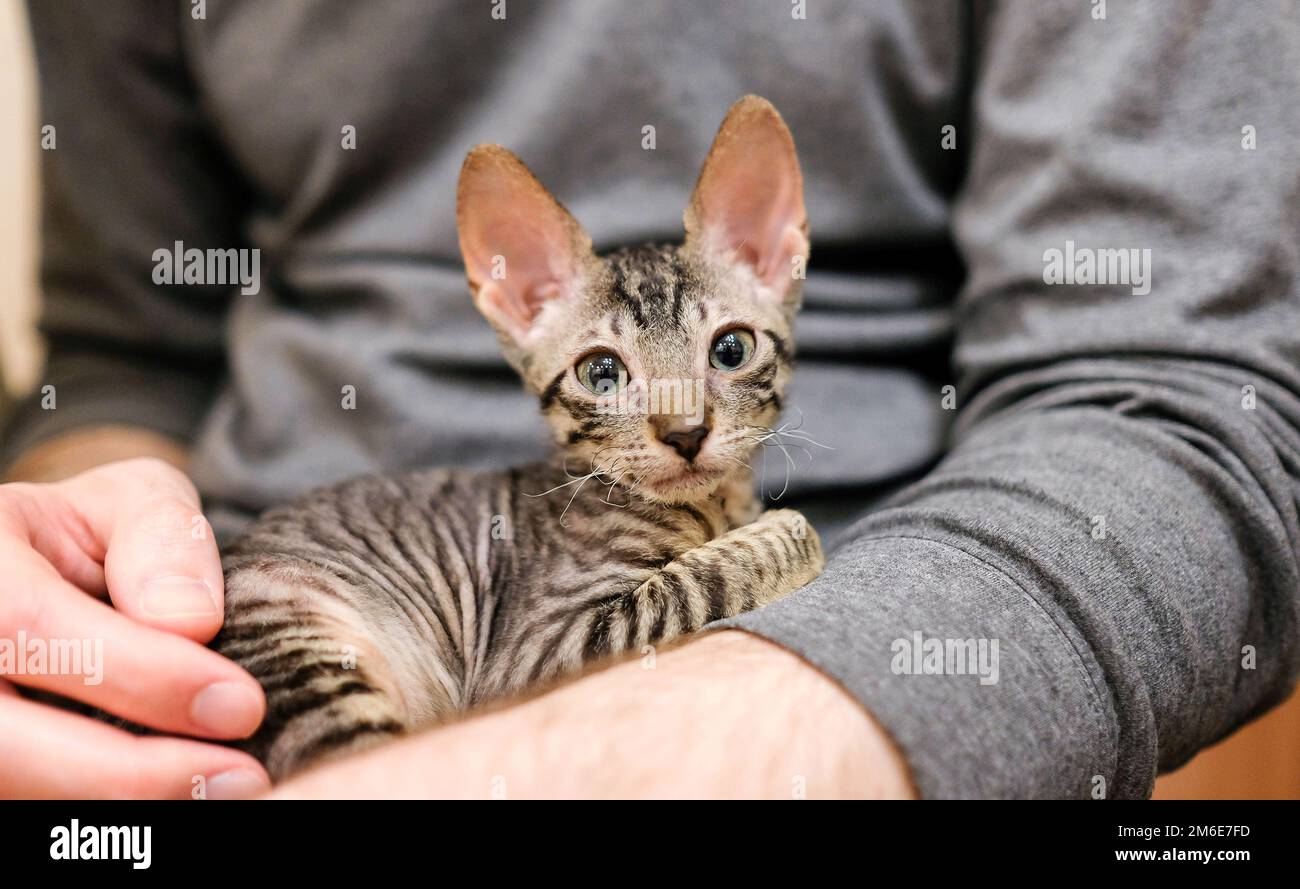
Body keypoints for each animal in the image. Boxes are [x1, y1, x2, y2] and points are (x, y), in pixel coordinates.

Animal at [213, 97, 821, 779]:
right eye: (602, 374)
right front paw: (784, 529)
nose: (686, 432)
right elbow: (708, 574)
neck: (713, 506)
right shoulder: (540, 650)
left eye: (731, 350)